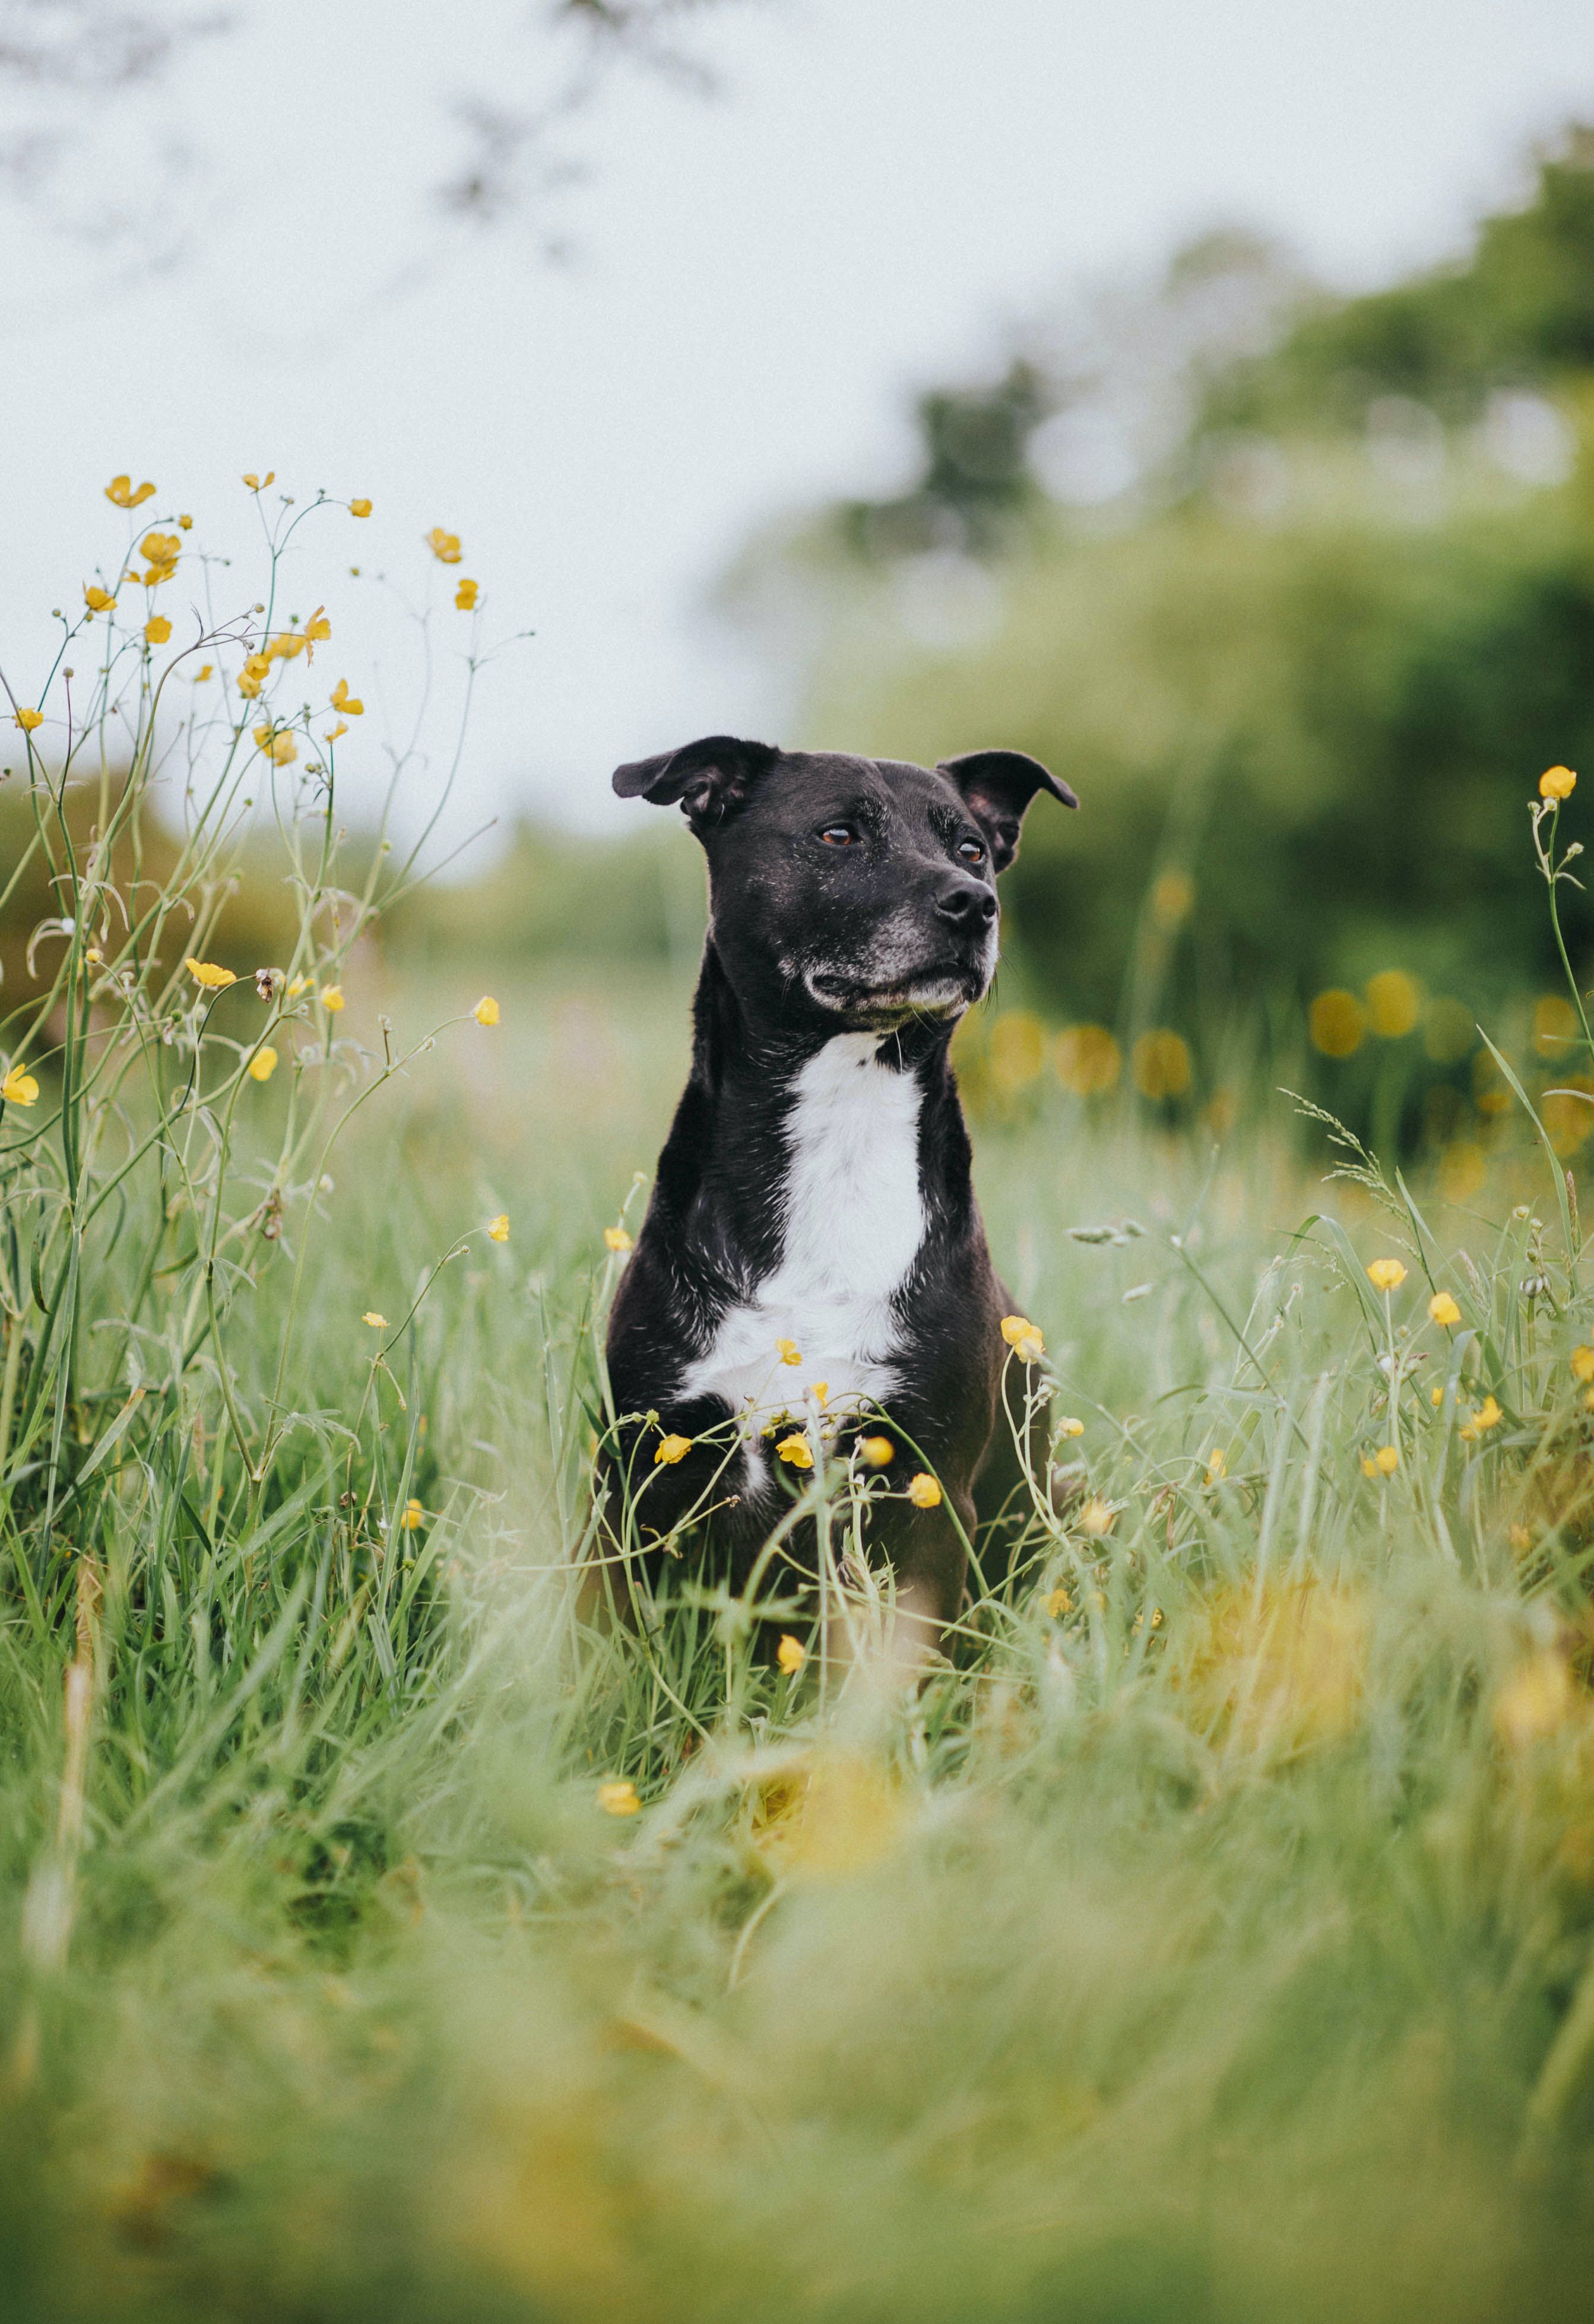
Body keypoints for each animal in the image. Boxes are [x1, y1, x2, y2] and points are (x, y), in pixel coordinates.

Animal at [604, 734, 1078, 1645]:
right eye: (837, 835)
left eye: (972, 849)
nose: (973, 904)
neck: (841, 1133)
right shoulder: (646, 1468)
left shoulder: (926, 1488)